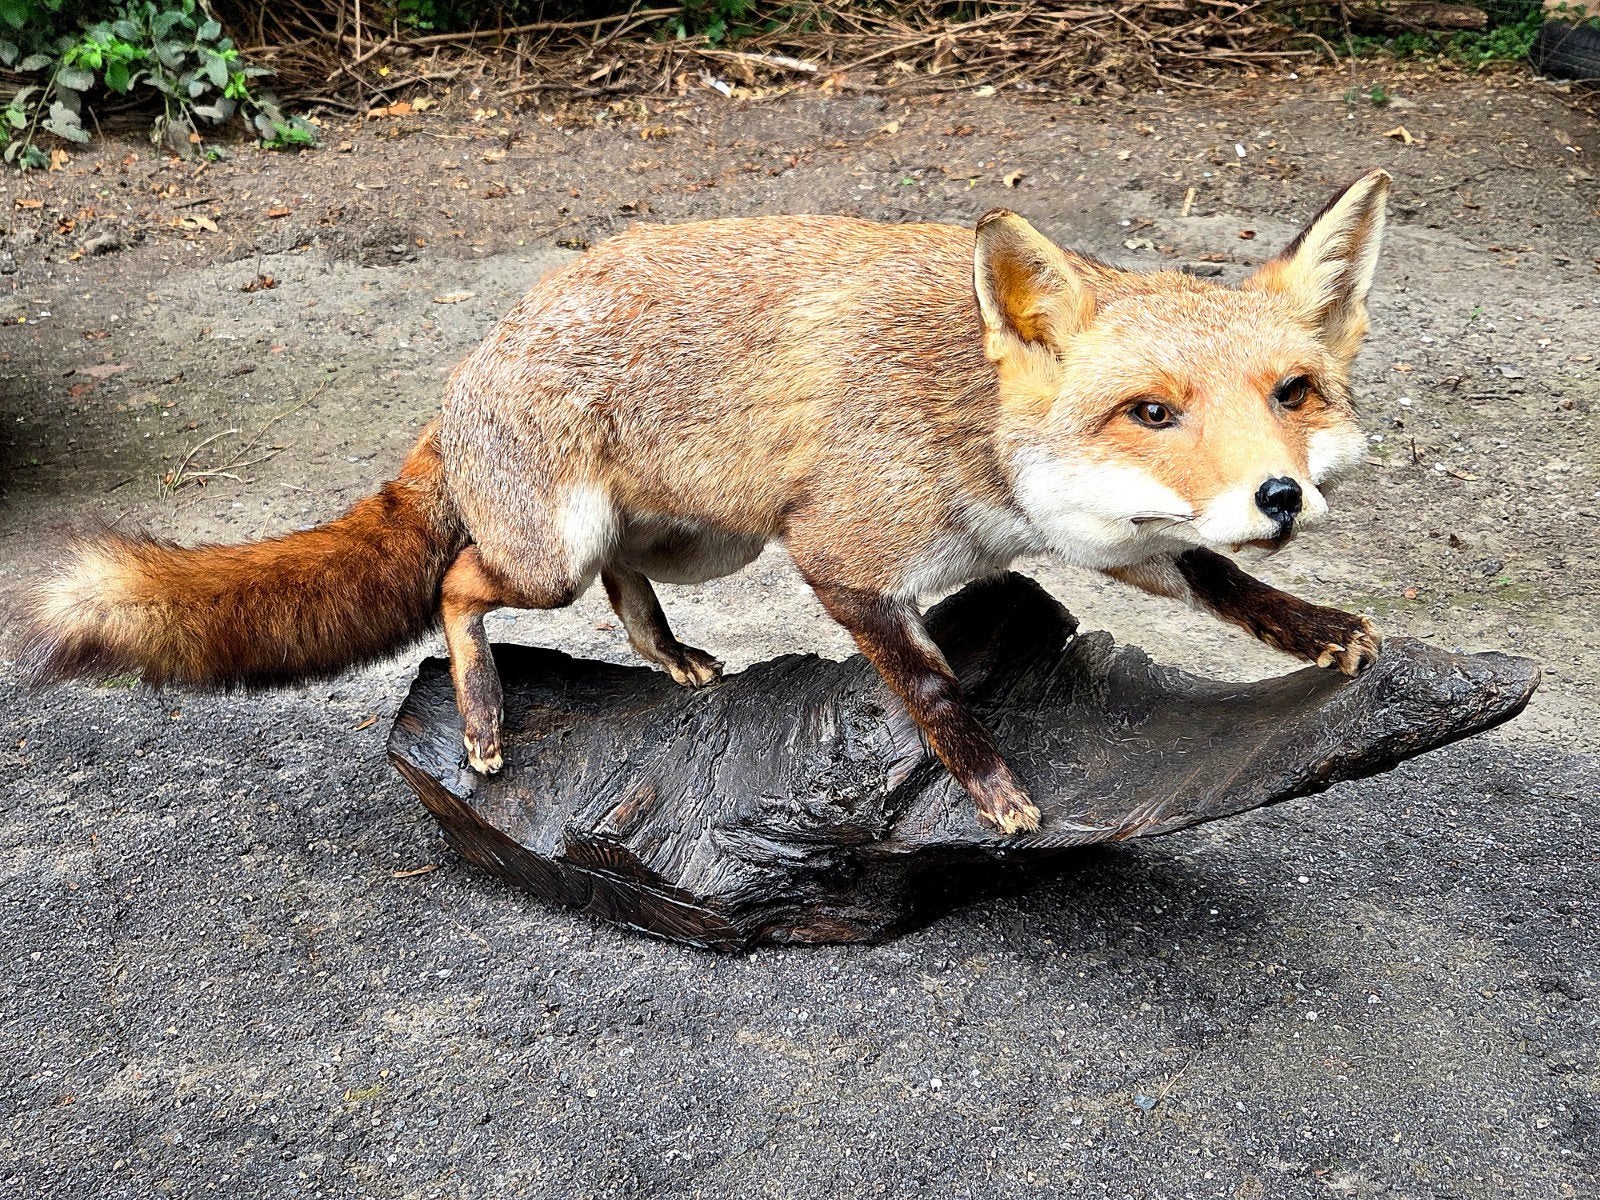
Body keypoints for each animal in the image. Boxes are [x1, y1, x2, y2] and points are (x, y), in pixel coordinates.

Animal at [20, 168, 1392, 837]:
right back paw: (481, 714)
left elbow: (1216, 577)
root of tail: (477, 353)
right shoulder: (839, 554)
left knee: (627, 585)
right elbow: (932, 684)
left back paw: (669, 659)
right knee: (463, 586)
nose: (1275, 494)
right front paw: (991, 788)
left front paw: (1315, 626)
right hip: (554, 553)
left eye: (1292, 394)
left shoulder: (1101, 535)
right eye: (1152, 412)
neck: (971, 429)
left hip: (702, 544)